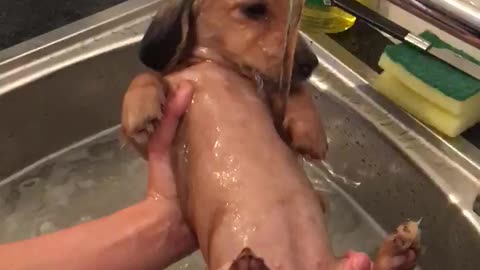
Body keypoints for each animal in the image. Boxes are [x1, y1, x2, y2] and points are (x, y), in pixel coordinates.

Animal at [122, 0, 418, 270]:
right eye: (254, 10)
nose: (311, 64)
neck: (217, 67)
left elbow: (296, 92)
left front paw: (311, 132)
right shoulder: (155, 138)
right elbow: (146, 78)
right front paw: (140, 106)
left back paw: (396, 254)